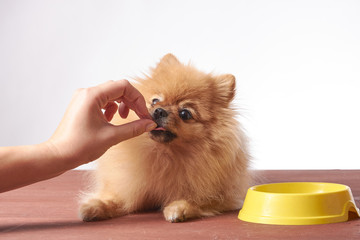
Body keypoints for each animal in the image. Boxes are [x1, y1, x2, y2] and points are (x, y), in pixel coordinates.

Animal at [79, 53, 250, 222]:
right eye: (155, 100)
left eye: (185, 113)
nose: (160, 111)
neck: (164, 153)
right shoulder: (131, 187)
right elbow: (117, 198)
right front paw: (95, 206)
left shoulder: (223, 196)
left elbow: (197, 199)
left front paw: (178, 208)